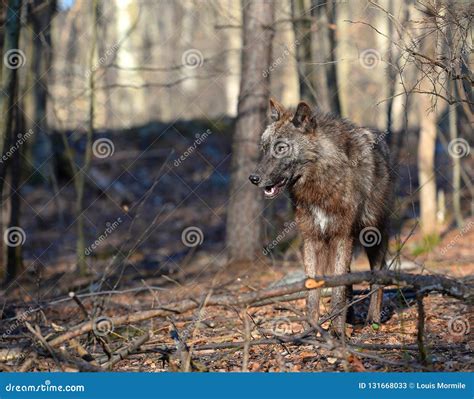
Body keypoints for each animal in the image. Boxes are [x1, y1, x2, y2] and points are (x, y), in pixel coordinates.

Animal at [250, 98, 394, 332]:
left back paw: (372, 319)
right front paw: (311, 330)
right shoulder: (312, 239)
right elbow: (313, 290)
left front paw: (336, 332)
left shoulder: (342, 237)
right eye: (264, 148)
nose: (253, 178)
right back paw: (349, 317)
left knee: (378, 275)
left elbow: (337, 291)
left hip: (372, 236)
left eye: (281, 148)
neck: (319, 184)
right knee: (349, 279)